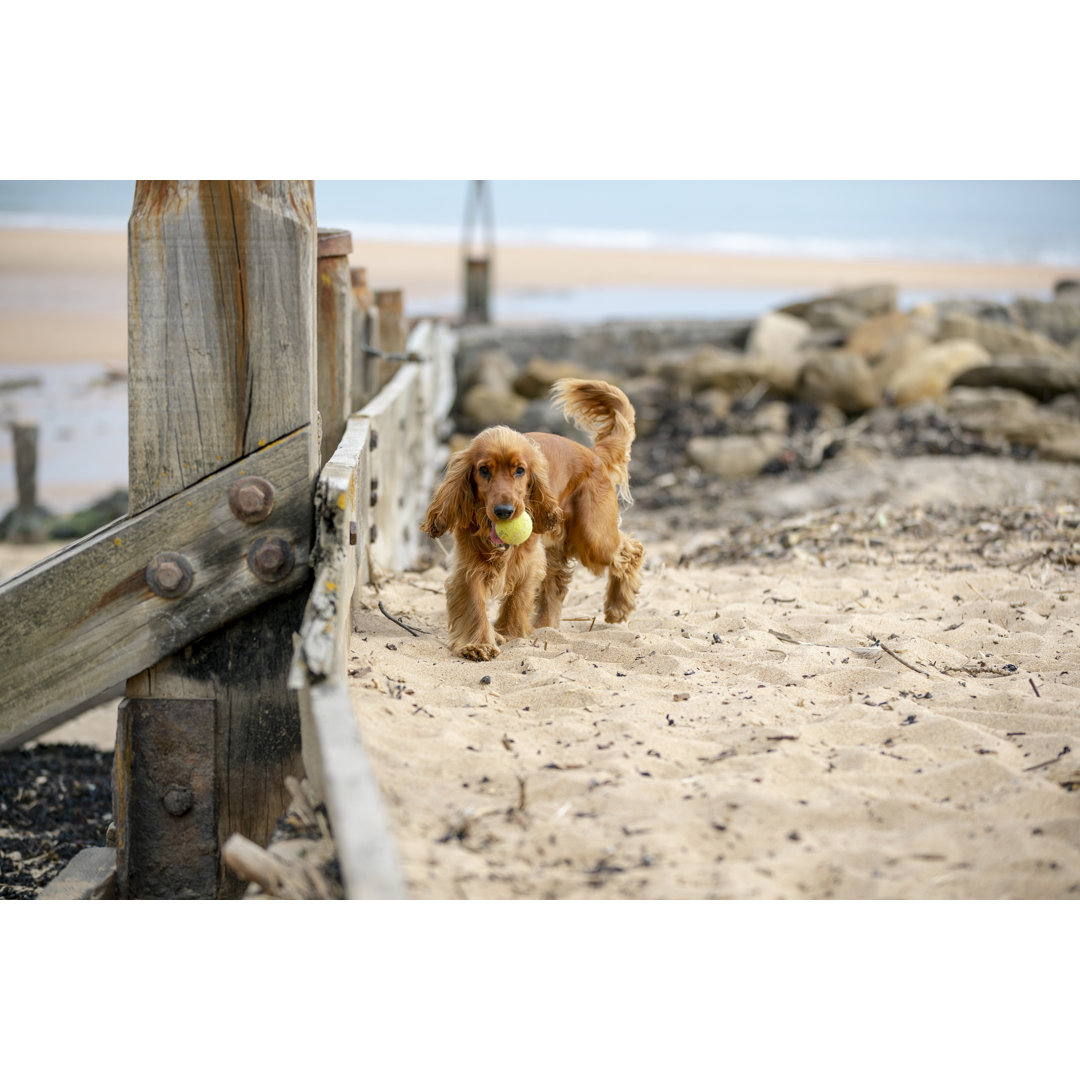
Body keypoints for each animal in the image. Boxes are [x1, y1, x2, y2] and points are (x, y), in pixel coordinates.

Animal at [419, 380, 639, 665]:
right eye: (484, 470)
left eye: (520, 470)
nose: (504, 511)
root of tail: (593, 455)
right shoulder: (468, 564)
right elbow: (474, 602)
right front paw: (479, 643)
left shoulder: (527, 559)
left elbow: (518, 596)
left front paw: (507, 632)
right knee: (557, 582)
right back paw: (545, 626)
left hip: (593, 537)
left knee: (631, 550)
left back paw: (617, 607)